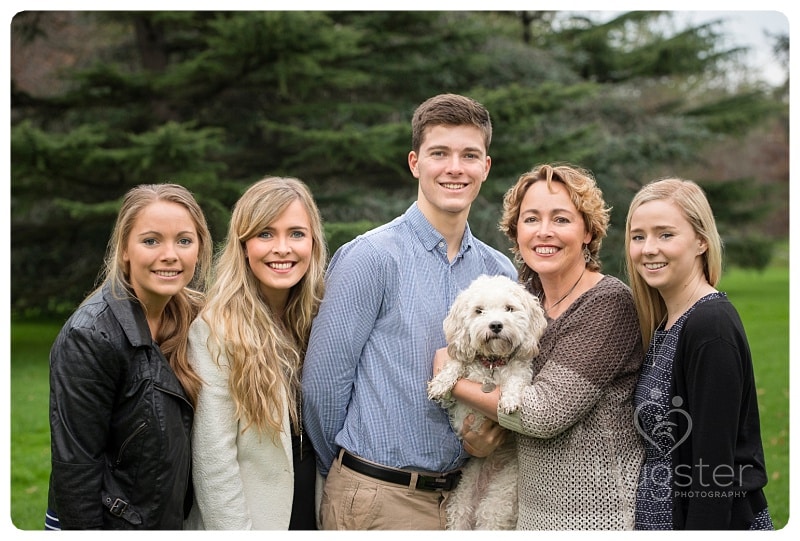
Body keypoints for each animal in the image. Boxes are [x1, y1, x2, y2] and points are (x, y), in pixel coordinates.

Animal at [428, 274, 548, 528]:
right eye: (479, 311)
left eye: (509, 308)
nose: (495, 325)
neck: (492, 363)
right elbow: (456, 363)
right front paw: (442, 382)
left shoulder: (521, 372)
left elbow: (517, 379)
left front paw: (509, 399)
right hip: (461, 501)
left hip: (497, 502)